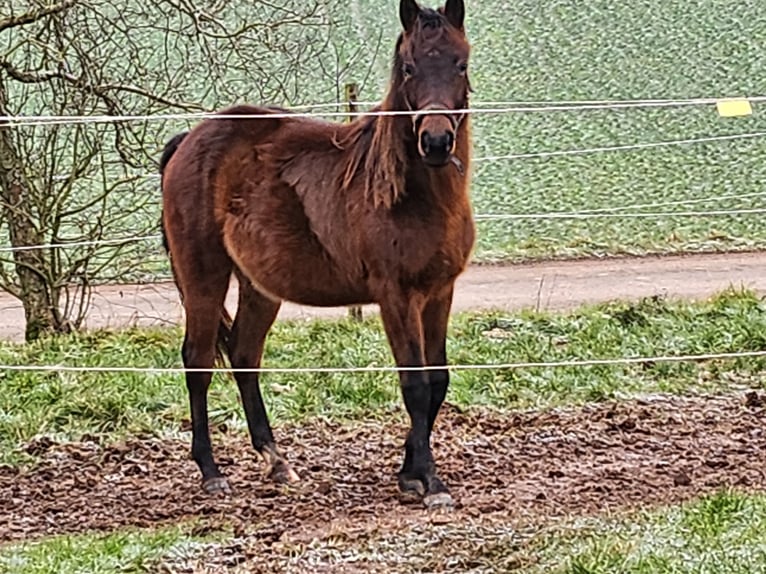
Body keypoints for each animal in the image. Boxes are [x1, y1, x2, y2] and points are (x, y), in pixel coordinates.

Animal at [161, 0, 474, 510]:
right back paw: (211, 472)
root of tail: (188, 139)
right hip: (203, 275)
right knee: (199, 360)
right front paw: (431, 483)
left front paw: (409, 473)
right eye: (409, 68)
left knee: (244, 355)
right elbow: (415, 384)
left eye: (459, 64)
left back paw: (276, 462)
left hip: (259, 286)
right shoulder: (396, 297)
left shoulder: (439, 292)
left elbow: (438, 381)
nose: (435, 142)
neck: (409, 196)